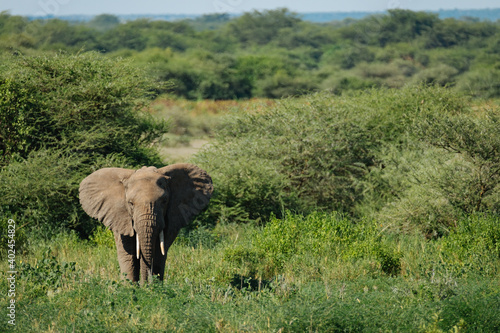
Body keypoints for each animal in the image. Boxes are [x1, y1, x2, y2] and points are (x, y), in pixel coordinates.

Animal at [78, 163, 213, 282]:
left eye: (164, 201)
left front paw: (155, 288)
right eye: (130, 203)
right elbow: (128, 253)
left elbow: (159, 251)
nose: (145, 285)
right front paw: (130, 289)